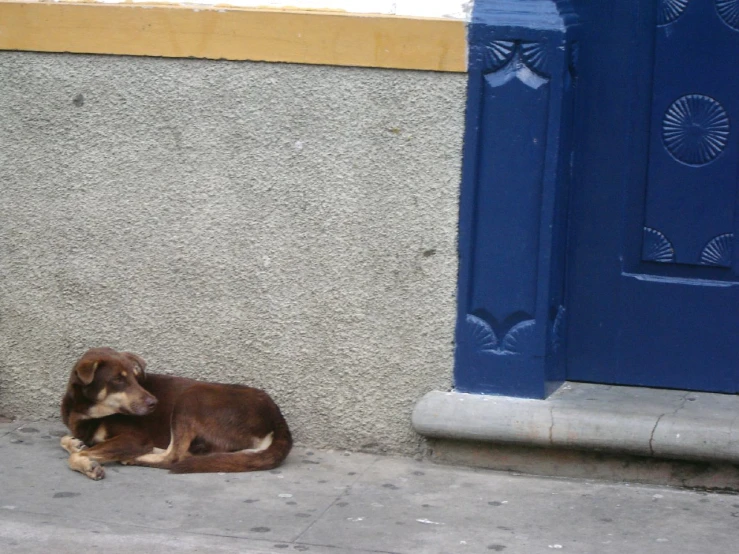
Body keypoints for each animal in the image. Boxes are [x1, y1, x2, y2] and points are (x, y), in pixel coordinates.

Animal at [60, 344, 292, 478]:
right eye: (118, 380)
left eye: (136, 378)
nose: (154, 402)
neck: (85, 412)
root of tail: (277, 418)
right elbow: (66, 440)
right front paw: (75, 443)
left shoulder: (134, 438)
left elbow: (75, 456)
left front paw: (87, 463)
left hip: (190, 397)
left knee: (175, 457)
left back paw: (136, 457)